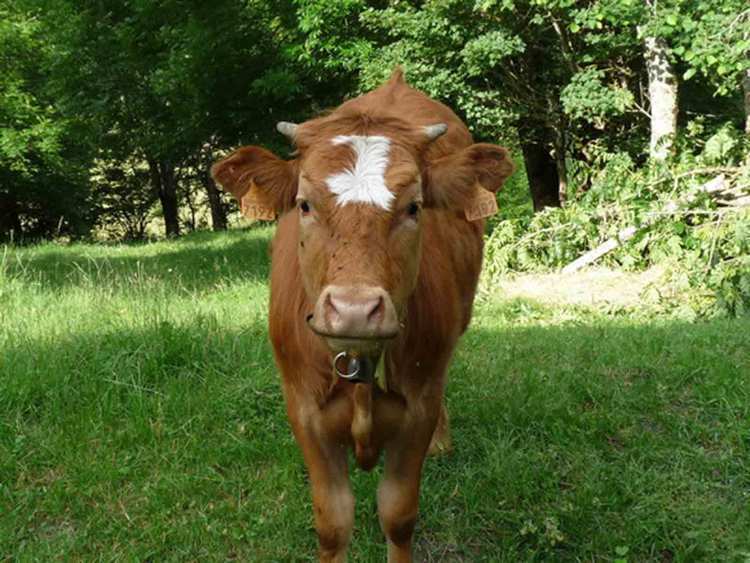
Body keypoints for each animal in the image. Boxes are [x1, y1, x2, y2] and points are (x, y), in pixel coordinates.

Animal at [211, 68, 513, 562]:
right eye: (304, 203)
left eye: (414, 206)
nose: (354, 310)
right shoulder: (304, 409)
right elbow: (333, 523)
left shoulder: (418, 406)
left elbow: (398, 515)